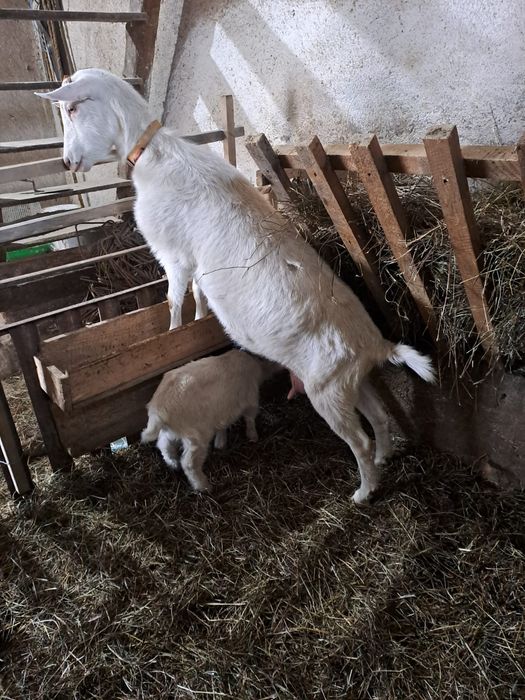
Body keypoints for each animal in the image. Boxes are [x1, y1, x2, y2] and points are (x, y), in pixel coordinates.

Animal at [141, 350, 278, 491]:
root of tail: (158, 409)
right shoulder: (251, 399)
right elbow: (250, 419)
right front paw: (253, 436)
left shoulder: (223, 410)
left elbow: (223, 425)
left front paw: (220, 443)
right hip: (196, 436)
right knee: (189, 464)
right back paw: (203, 486)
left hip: (173, 430)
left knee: (163, 443)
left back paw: (172, 463)